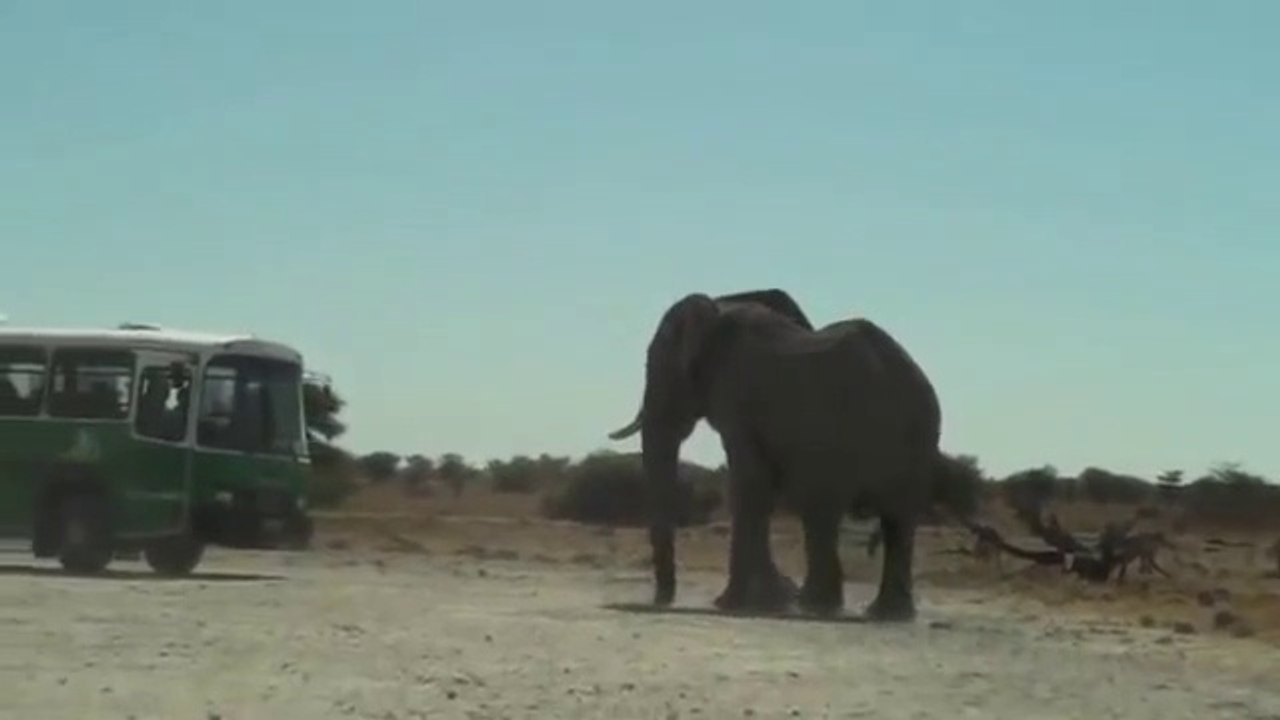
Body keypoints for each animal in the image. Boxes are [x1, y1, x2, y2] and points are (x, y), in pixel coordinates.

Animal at [607, 288, 944, 621]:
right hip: (915, 437)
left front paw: (742, 602)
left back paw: (821, 605)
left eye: (657, 365)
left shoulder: (736, 393)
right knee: (891, 520)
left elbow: (747, 483)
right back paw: (875, 611)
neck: (720, 304)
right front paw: (775, 597)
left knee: (831, 508)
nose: (662, 602)